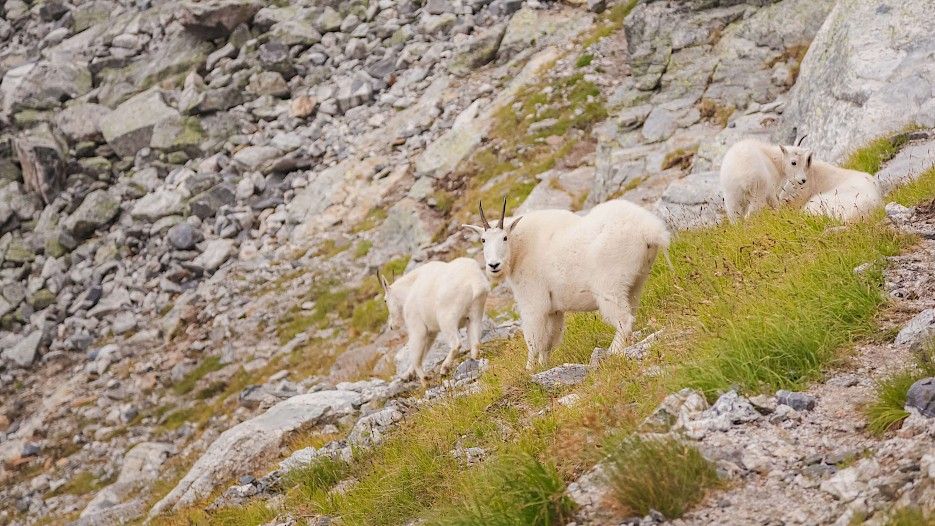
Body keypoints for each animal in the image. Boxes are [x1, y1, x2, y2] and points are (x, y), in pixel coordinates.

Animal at [463, 198, 670, 370]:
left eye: (504, 238)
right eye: (483, 240)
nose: (493, 265)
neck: (520, 249)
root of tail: (649, 229)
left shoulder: (533, 302)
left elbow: (533, 339)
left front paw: (529, 369)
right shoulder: (554, 310)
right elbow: (548, 340)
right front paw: (543, 365)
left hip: (608, 287)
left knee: (623, 320)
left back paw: (611, 353)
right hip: (636, 282)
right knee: (630, 313)